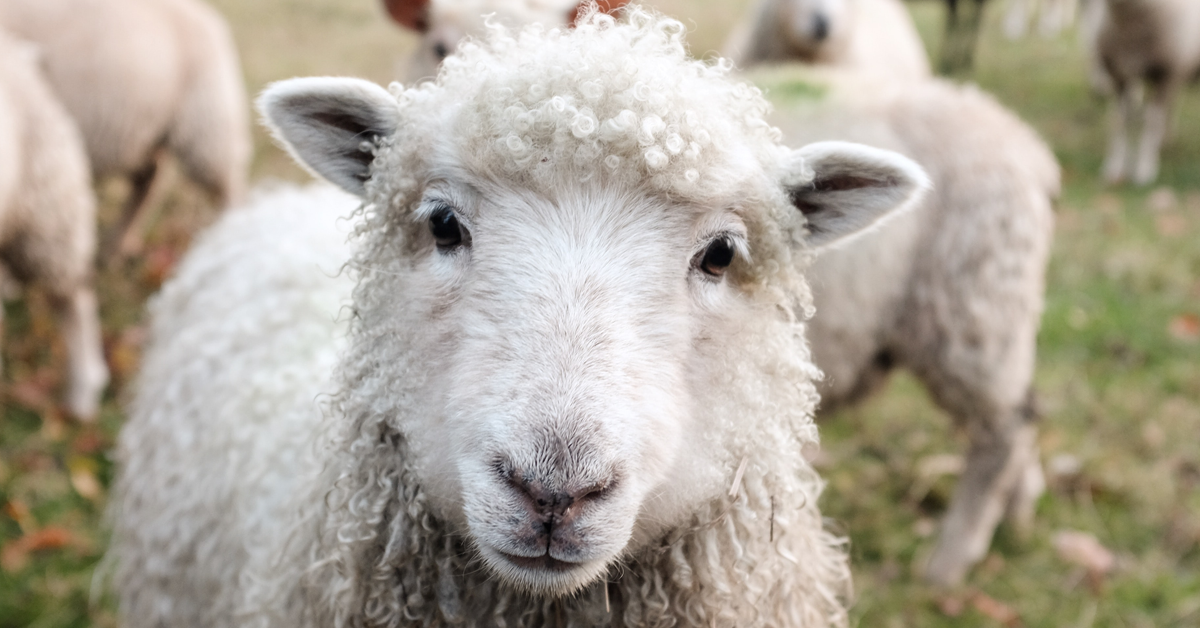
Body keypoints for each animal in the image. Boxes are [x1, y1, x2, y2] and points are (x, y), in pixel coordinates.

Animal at [0, 0, 251, 257]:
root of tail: (211, 20)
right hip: (143, 134)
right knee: (149, 181)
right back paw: (118, 244)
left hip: (207, 124)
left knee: (228, 185)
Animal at [1089, 0, 1200, 185]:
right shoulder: (1119, 76)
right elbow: (1119, 120)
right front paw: (1114, 168)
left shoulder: (1165, 75)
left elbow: (1152, 121)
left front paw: (1145, 169)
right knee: (1172, 103)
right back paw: (1166, 139)